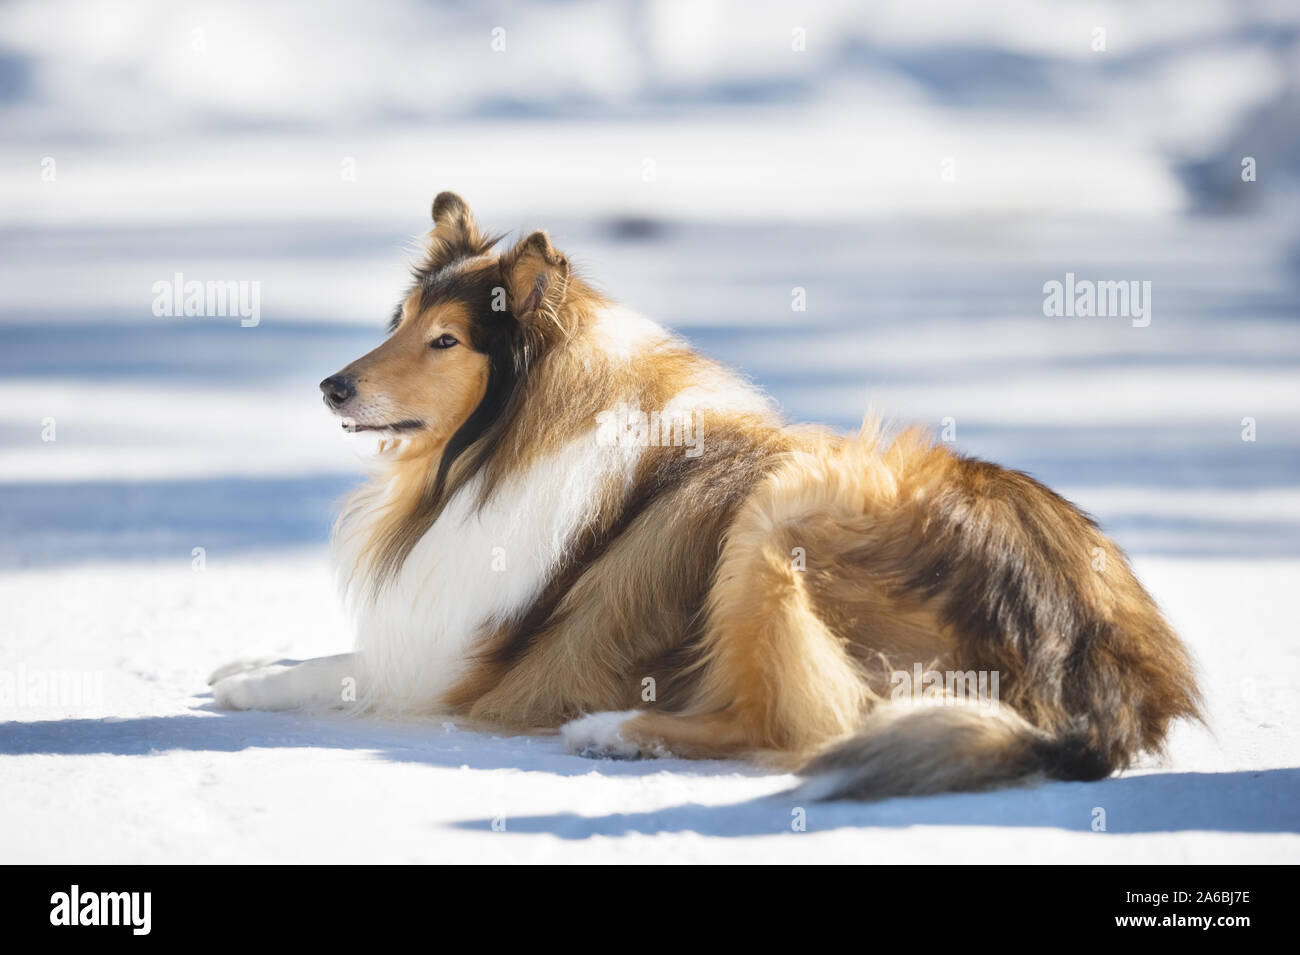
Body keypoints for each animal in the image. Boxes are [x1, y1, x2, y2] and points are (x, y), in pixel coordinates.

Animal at [210, 194, 1196, 800]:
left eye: (446, 340)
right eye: (404, 322)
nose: (332, 387)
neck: (499, 443)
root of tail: (1087, 653)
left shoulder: (445, 660)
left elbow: (343, 667)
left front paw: (250, 678)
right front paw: (244, 659)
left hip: (776, 521)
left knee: (796, 719)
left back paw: (614, 730)